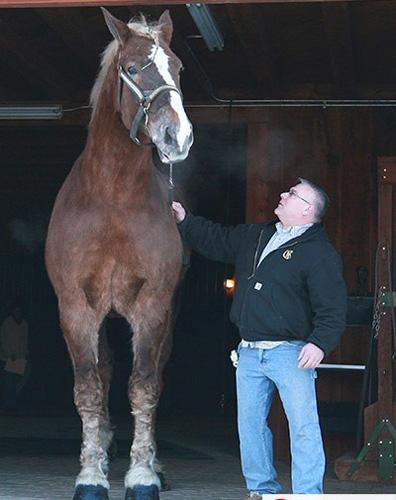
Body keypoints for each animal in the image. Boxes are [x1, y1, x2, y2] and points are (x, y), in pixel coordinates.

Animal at [45, 8, 193, 500]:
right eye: (131, 68)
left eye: (177, 68)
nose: (178, 137)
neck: (112, 198)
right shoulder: (76, 308)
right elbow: (90, 388)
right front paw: (91, 475)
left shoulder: (152, 307)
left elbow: (144, 387)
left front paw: (142, 475)